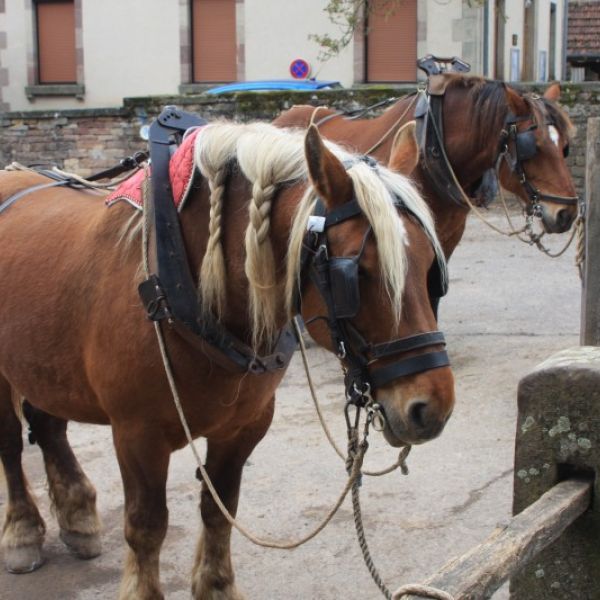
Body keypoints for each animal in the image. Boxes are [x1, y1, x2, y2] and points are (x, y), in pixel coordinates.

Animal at [0, 119, 450, 596]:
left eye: (429, 269)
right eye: (358, 272)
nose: (431, 408)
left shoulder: (243, 427)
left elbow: (220, 509)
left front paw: (215, 585)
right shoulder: (137, 433)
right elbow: (146, 526)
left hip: (43, 358)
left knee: (48, 424)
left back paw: (77, 517)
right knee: (11, 443)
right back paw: (22, 531)